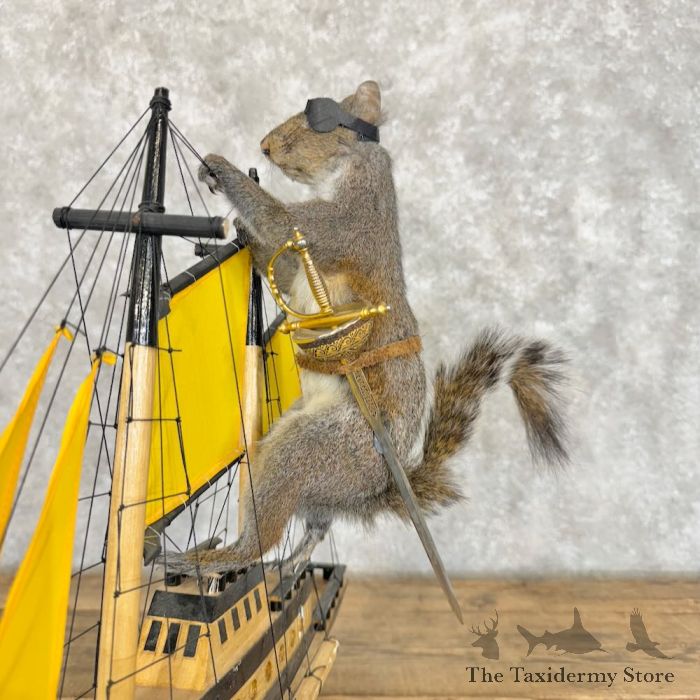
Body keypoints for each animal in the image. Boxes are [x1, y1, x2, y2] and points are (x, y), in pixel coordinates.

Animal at [165, 81, 569, 575]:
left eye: (314, 121)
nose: (264, 146)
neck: (347, 165)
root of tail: (365, 491)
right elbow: (280, 265)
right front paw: (238, 230)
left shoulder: (353, 216)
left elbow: (284, 221)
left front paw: (221, 170)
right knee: (316, 523)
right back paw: (284, 563)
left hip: (317, 450)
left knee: (267, 531)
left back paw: (211, 560)